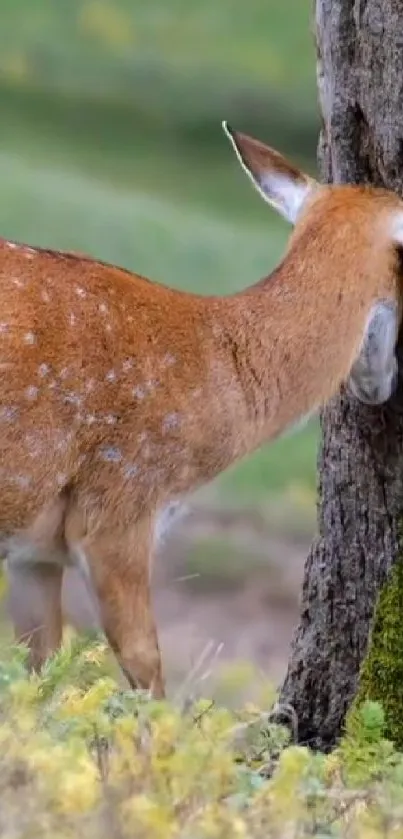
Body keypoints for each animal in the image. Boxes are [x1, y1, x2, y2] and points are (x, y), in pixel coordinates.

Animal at [0, 124, 402, 700]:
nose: (378, 385)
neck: (216, 376)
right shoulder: (118, 507)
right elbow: (147, 673)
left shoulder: (34, 550)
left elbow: (37, 677)